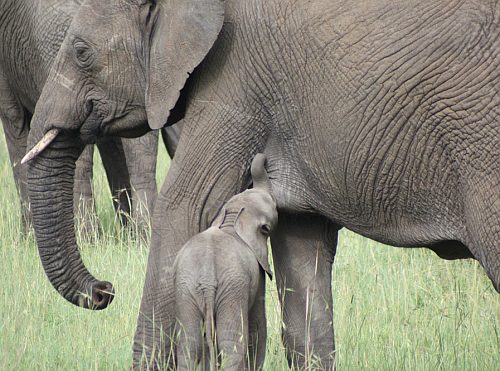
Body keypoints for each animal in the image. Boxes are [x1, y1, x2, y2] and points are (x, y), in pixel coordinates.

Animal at [174, 154, 278, 371]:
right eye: (273, 206)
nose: (263, 157)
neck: (233, 217)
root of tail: (207, 281)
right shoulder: (256, 273)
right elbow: (257, 325)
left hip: (186, 289)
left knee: (189, 344)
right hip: (232, 289)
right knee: (231, 343)